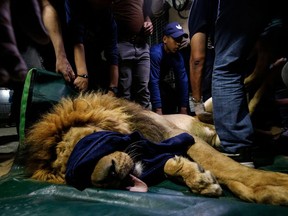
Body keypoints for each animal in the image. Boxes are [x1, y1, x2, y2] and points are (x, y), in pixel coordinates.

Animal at [23, 92, 288, 205]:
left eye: (90, 140)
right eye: (74, 171)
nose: (106, 177)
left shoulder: (174, 134)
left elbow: (231, 169)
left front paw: (276, 185)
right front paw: (200, 180)